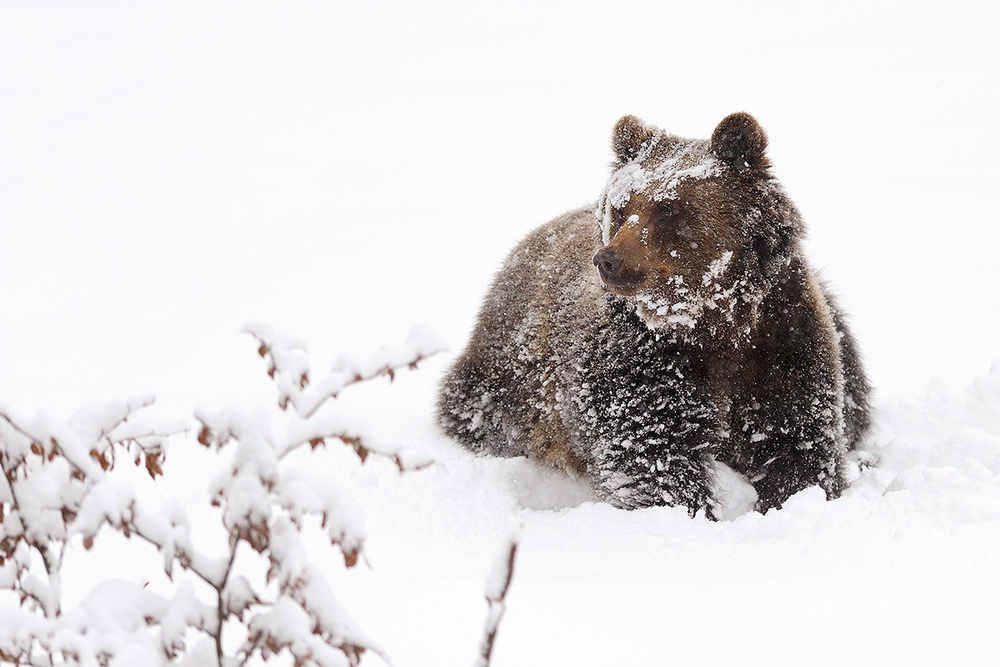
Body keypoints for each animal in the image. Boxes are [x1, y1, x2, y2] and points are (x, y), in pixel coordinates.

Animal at [436, 112, 871, 517]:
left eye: (669, 210)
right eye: (619, 207)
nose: (608, 259)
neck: (712, 321)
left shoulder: (781, 341)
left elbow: (797, 441)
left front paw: (791, 495)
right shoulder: (641, 361)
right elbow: (651, 453)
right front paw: (689, 510)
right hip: (509, 378)